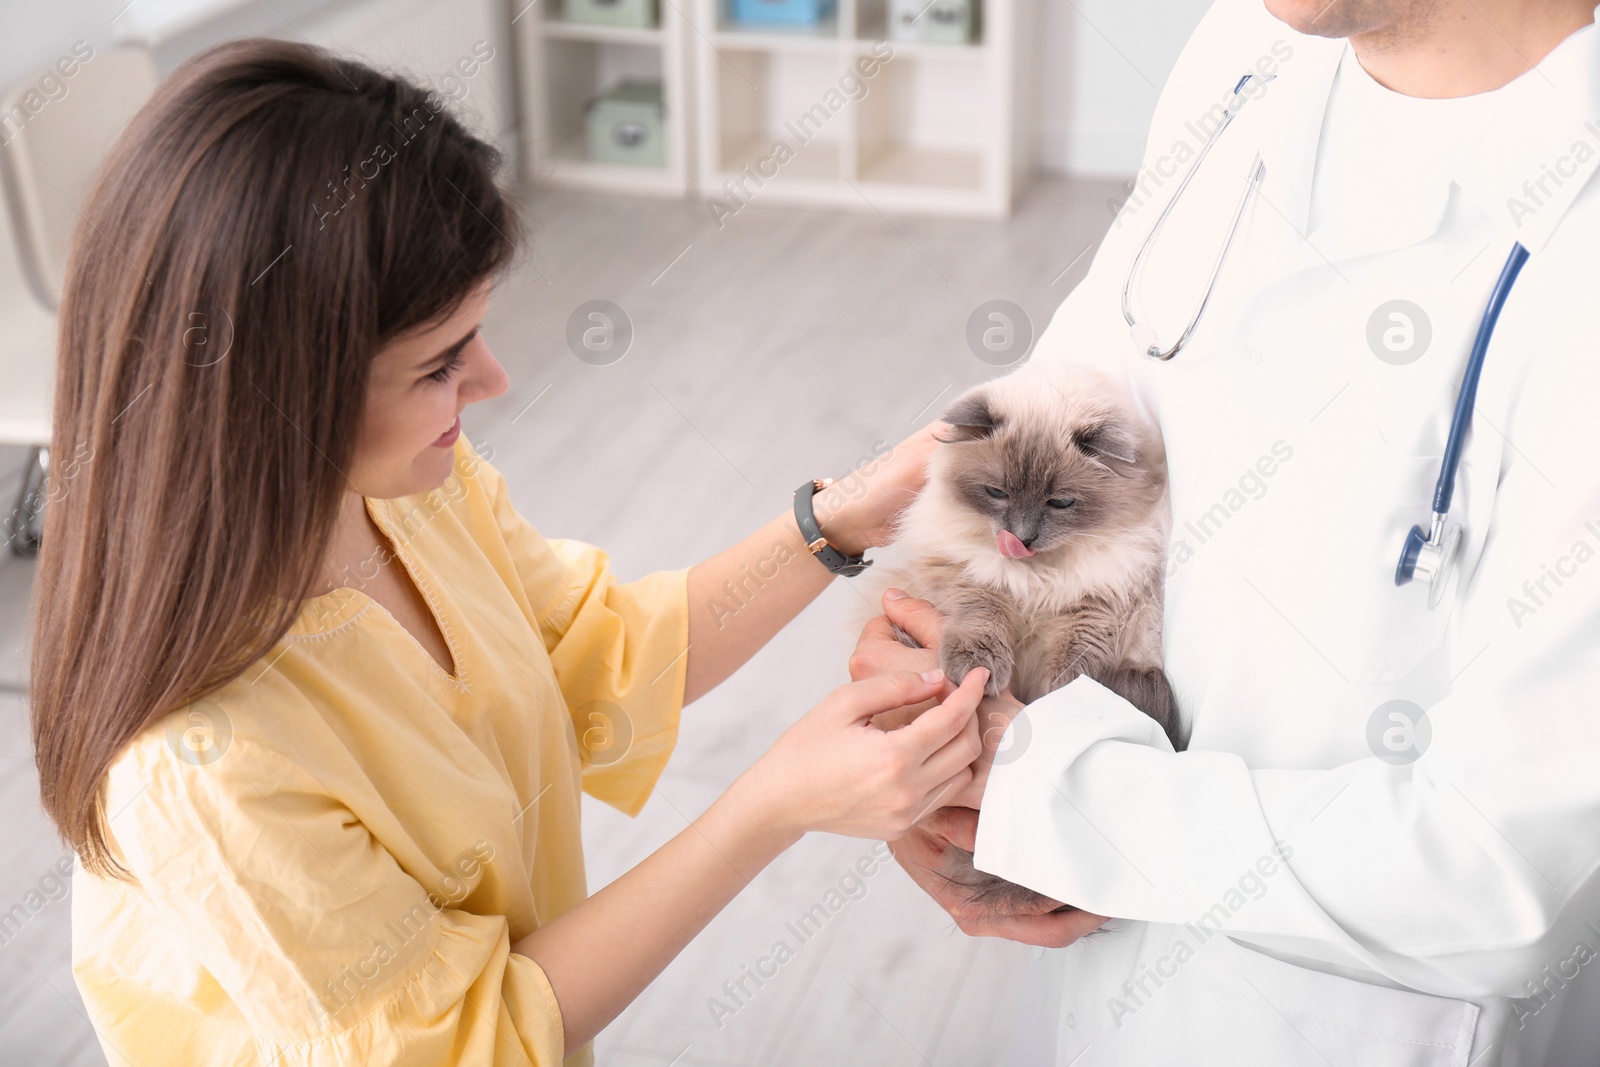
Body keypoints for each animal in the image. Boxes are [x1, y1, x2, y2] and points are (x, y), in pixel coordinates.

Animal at [883, 363, 1184, 915]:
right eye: (997, 493)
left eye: (1060, 502)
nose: (1020, 537)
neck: (1038, 578)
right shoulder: (972, 580)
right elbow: (981, 624)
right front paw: (980, 671)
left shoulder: (1097, 606)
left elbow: (1072, 669)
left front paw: (1059, 700)